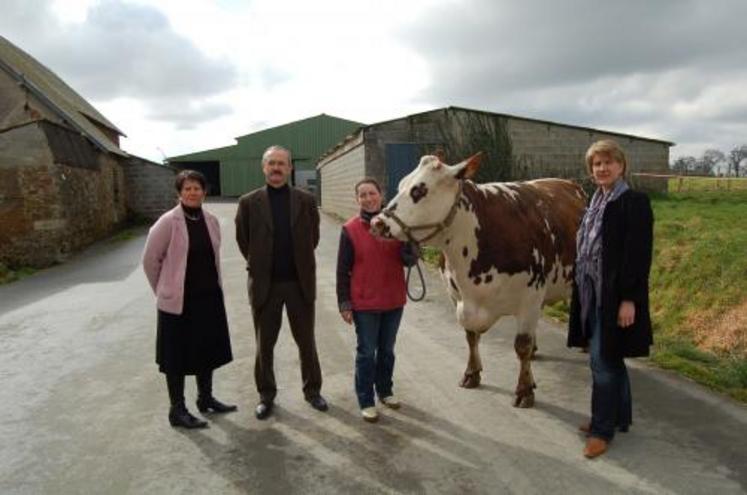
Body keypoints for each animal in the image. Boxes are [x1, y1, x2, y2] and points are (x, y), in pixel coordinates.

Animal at [372, 154, 588, 406]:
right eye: (401, 185)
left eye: (419, 190)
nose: (377, 223)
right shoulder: (456, 296)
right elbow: (470, 337)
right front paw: (471, 374)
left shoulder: (530, 297)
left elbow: (521, 345)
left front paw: (524, 390)